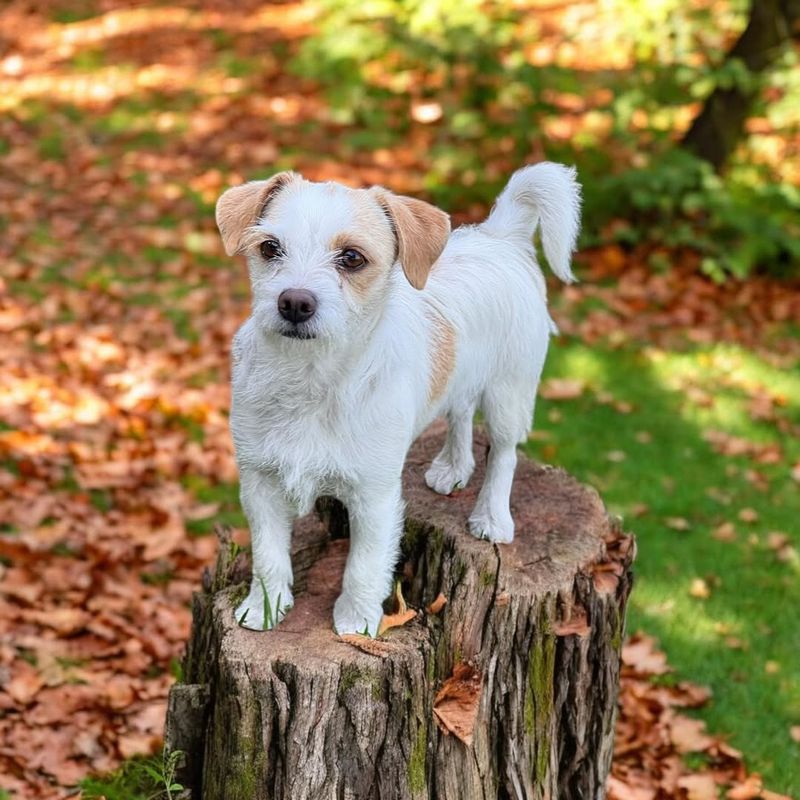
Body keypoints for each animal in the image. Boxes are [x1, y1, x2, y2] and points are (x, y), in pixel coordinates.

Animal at [217, 164, 580, 636]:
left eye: (352, 258)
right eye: (269, 247)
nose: (294, 302)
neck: (311, 376)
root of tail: (499, 235)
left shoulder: (375, 495)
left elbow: (364, 564)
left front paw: (357, 621)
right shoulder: (260, 482)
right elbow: (269, 555)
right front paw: (264, 605)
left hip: (509, 393)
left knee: (504, 454)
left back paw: (491, 516)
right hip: (460, 381)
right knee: (461, 415)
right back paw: (453, 467)